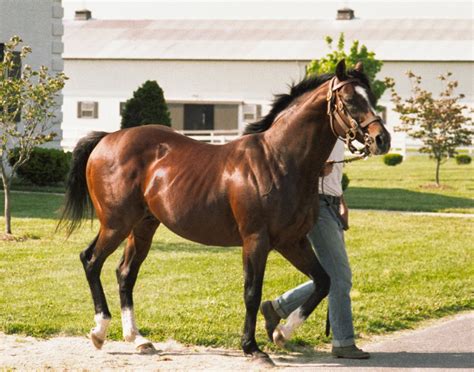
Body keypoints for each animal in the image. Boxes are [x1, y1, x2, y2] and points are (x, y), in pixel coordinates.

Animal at [59, 60, 390, 364]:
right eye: (349, 100)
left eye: (371, 98)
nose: (381, 139)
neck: (279, 160)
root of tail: (107, 138)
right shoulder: (256, 241)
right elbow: (252, 293)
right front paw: (253, 348)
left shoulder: (291, 241)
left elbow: (323, 281)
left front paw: (281, 333)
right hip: (116, 224)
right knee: (91, 261)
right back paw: (99, 331)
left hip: (143, 226)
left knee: (125, 273)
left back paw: (138, 338)